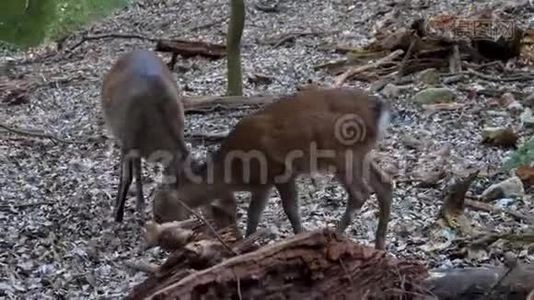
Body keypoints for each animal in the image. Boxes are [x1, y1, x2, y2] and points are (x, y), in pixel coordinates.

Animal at [154, 86, 394, 248]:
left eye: (160, 202)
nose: (156, 218)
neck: (235, 172)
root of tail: (380, 110)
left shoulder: (281, 171)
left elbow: (291, 210)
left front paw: (299, 237)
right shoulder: (263, 186)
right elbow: (253, 215)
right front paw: (247, 243)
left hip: (341, 152)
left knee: (361, 192)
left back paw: (336, 233)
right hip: (361, 152)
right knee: (384, 183)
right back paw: (379, 245)